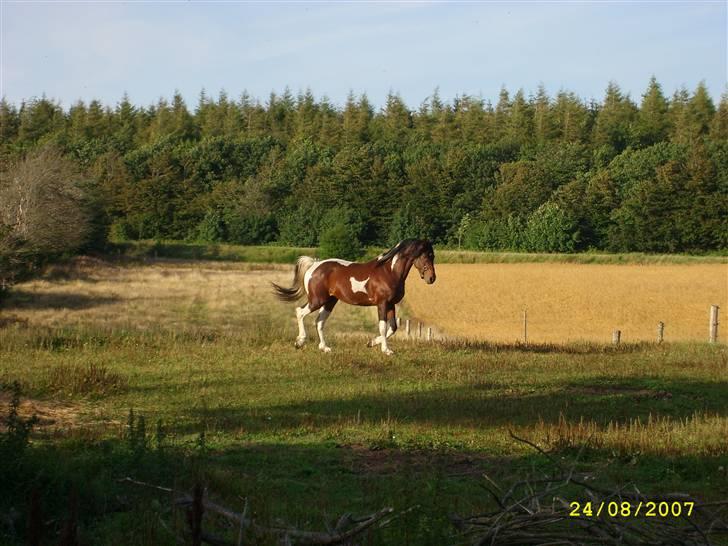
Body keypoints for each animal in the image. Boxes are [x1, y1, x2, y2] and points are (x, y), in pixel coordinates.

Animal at [270, 238, 436, 352]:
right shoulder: (381, 304)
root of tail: (314, 265)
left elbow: (393, 327)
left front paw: (371, 343)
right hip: (317, 300)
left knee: (319, 321)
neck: (389, 272)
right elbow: (383, 327)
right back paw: (300, 341)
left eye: (432, 256)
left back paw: (324, 348)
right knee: (300, 312)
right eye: (425, 256)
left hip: (330, 301)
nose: (431, 278)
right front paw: (386, 350)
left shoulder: (391, 304)